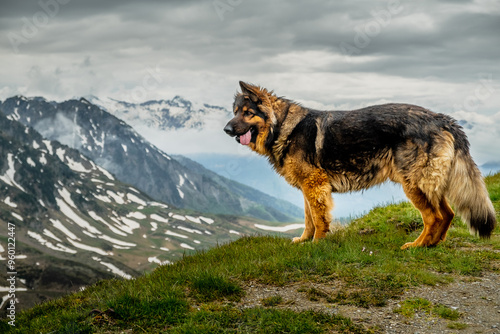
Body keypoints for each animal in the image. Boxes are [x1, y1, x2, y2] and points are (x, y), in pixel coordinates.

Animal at [226, 81, 496, 248]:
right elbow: (308, 218)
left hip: (414, 184)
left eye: (247, 112)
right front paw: (304, 241)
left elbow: (319, 219)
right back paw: (433, 244)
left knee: (434, 216)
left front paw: (317, 244)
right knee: (448, 213)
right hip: (429, 184)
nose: (226, 130)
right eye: (235, 111)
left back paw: (418, 245)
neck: (282, 127)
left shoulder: (315, 186)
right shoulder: (308, 188)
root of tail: (444, 120)